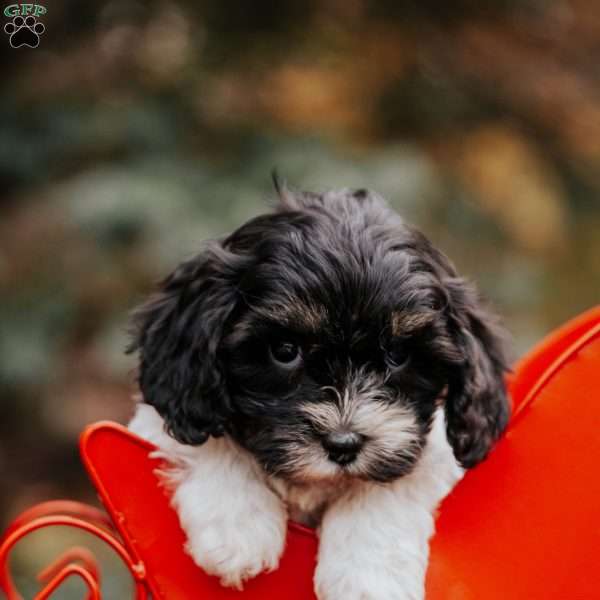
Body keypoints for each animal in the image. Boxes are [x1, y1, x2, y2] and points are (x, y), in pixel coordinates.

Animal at [129, 183, 508, 600]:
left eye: (397, 355)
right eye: (284, 351)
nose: (343, 444)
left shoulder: (426, 450)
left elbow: (397, 478)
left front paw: (367, 578)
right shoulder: (167, 407)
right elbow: (208, 438)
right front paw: (238, 526)